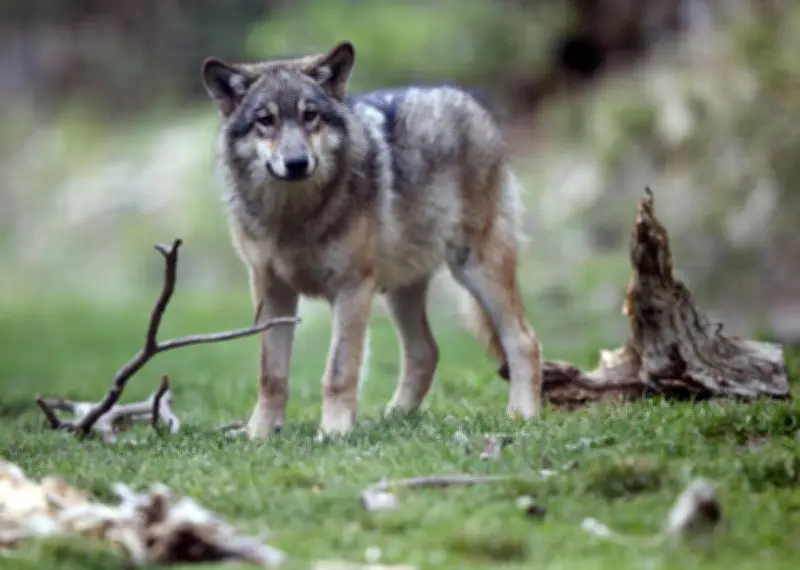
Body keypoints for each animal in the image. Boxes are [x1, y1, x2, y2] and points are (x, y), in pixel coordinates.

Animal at [200, 41, 543, 439]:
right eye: (265, 120)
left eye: (310, 116)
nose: (297, 162)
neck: (294, 217)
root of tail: (470, 98)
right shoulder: (271, 291)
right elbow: (271, 374)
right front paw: (259, 434)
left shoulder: (352, 289)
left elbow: (338, 371)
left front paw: (334, 432)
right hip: (401, 291)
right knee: (426, 352)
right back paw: (393, 418)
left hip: (474, 268)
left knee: (523, 341)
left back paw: (522, 415)